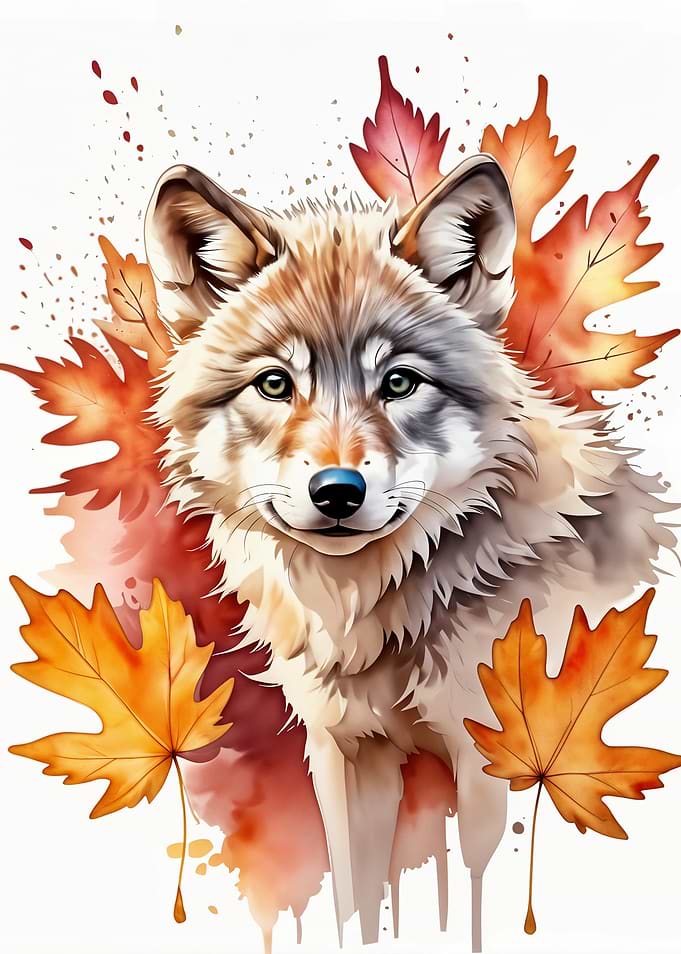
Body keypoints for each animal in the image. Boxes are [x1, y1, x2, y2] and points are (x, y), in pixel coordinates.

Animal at [145, 155, 672, 951]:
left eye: (398, 382)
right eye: (274, 383)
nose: (337, 491)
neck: (378, 609)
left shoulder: (499, 766)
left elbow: (485, 904)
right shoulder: (346, 758)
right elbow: (355, 903)